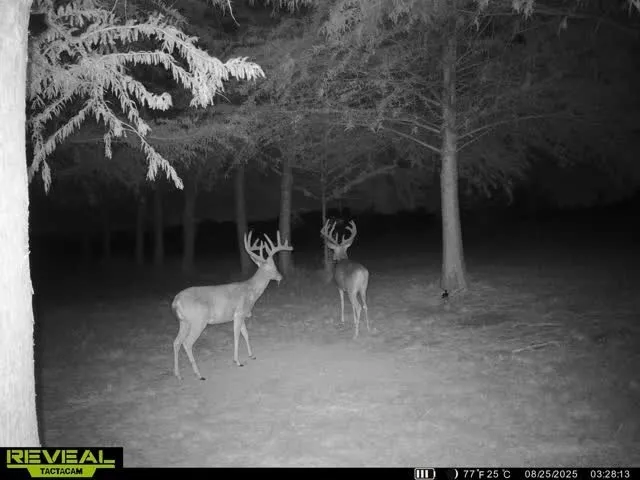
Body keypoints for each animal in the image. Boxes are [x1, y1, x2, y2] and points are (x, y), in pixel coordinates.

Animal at [172, 230, 293, 381]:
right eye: (273, 266)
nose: (280, 276)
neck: (251, 291)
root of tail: (175, 301)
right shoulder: (239, 313)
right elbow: (236, 336)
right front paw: (238, 361)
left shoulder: (242, 315)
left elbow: (245, 334)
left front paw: (252, 355)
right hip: (198, 321)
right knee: (187, 343)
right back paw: (199, 375)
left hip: (184, 322)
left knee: (176, 342)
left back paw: (178, 374)